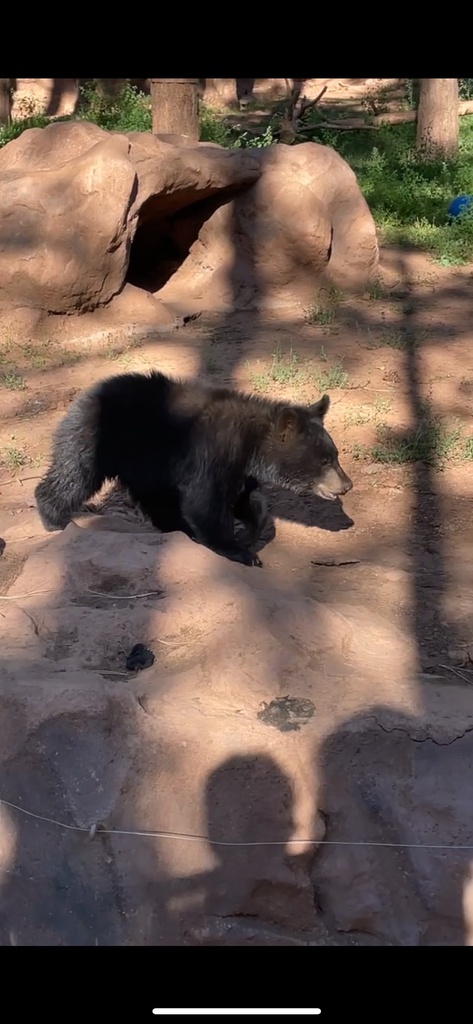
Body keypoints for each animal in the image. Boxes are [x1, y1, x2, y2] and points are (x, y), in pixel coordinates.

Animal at [35, 370, 352, 569]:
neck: (250, 442)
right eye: (325, 461)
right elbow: (205, 503)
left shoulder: (240, 469)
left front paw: (249, 532)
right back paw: (55, 518)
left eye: (335, 455)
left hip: (145, 464)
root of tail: (86, 394)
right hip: (100, 440)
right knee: (74, 475)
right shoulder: (211, 454)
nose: (347, 485)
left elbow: (247, 501)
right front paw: (241, 552)